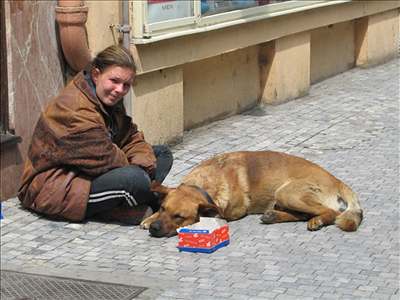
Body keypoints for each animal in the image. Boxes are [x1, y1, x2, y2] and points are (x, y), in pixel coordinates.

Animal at [141, 151, 362, 238]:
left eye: (179, 217)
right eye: (163, 208)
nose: (154, 228)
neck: (204, 183)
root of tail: (336, 180)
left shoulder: (232, 212)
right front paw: (149, 218)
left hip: (287, 192)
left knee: (331, 212)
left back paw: (318, 220)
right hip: (283, 198)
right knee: (301, 214)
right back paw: (273, 216)